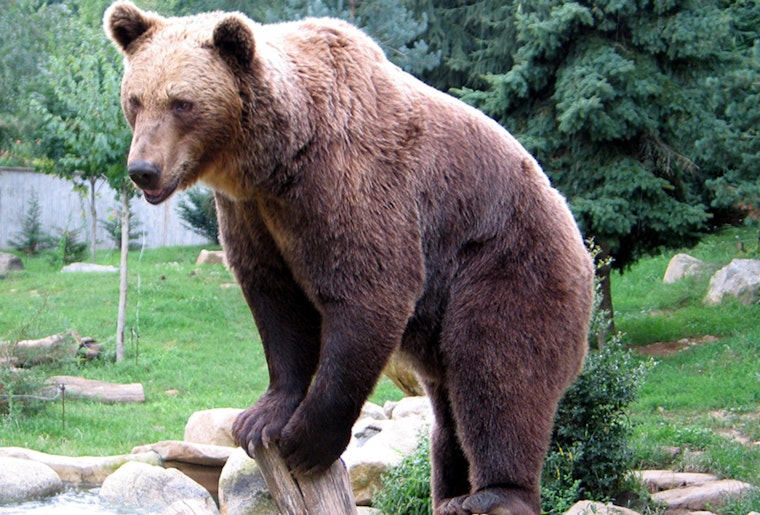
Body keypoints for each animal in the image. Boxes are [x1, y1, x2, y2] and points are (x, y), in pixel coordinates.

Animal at [104, 3, 594, 514]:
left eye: (182, 103)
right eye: (135, 100)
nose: (143, 169)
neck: (275, 160)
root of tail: (580, 245)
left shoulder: (348, 183)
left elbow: (370, 291)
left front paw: (307, 440)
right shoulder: (252, 215)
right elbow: (276, 302)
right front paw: (259, 419)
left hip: (507, 264)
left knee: (496, 370)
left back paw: (495, 494)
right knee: (448, 408)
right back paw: (451, 490)